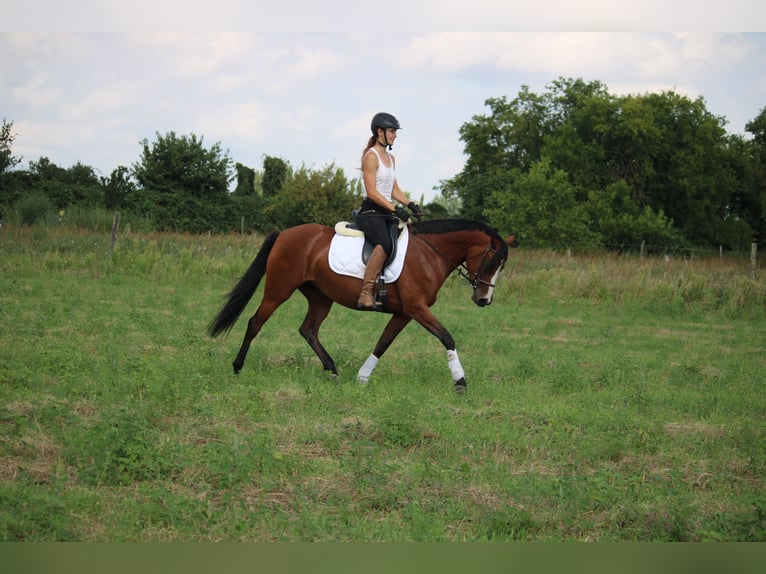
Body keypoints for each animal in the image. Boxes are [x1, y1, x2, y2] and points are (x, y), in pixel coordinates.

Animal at [207, 218, 520, 394]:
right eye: (493, 262)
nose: (484, 300)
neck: (429, 253)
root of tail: (284, 234)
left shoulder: (404, 313)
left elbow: (383, 343)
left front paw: (362, 377)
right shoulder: (417, 309)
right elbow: (447, 337)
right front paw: (460, 381)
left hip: (321, 297)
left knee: (308, 330)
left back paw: (333, 370)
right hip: (279, 289)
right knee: (255, 322)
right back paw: (237, 367)